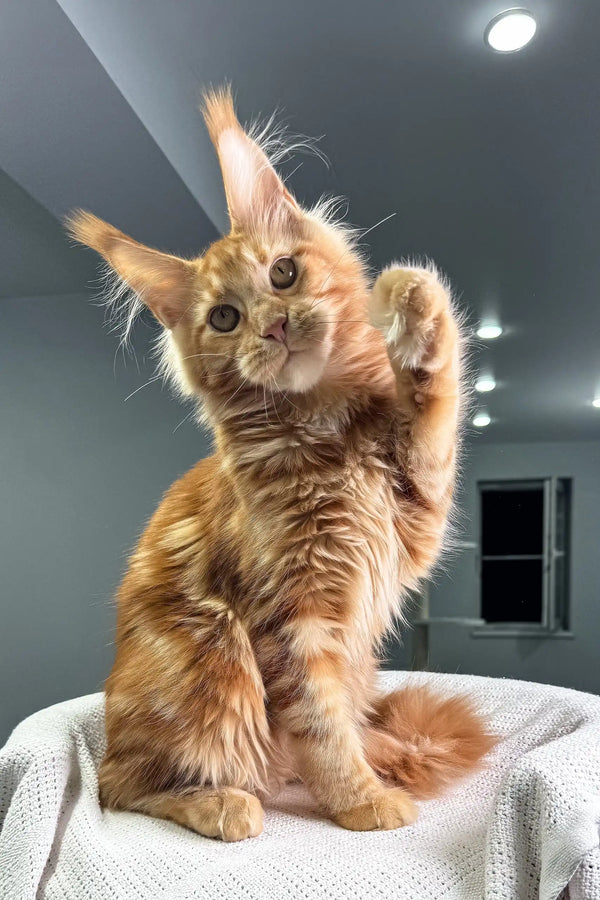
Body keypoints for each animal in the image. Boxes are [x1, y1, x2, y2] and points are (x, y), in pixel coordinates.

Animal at [68, 88, 494, 840]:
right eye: (225, 318)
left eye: (284, 273)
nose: (273, 324)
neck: (329, 432)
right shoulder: (288, 621)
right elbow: (321, 729)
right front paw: (361, 801)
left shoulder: (418, 507)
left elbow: (438, 403)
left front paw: (411, 302)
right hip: (210, 657)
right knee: (121, 786)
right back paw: (225, 802)